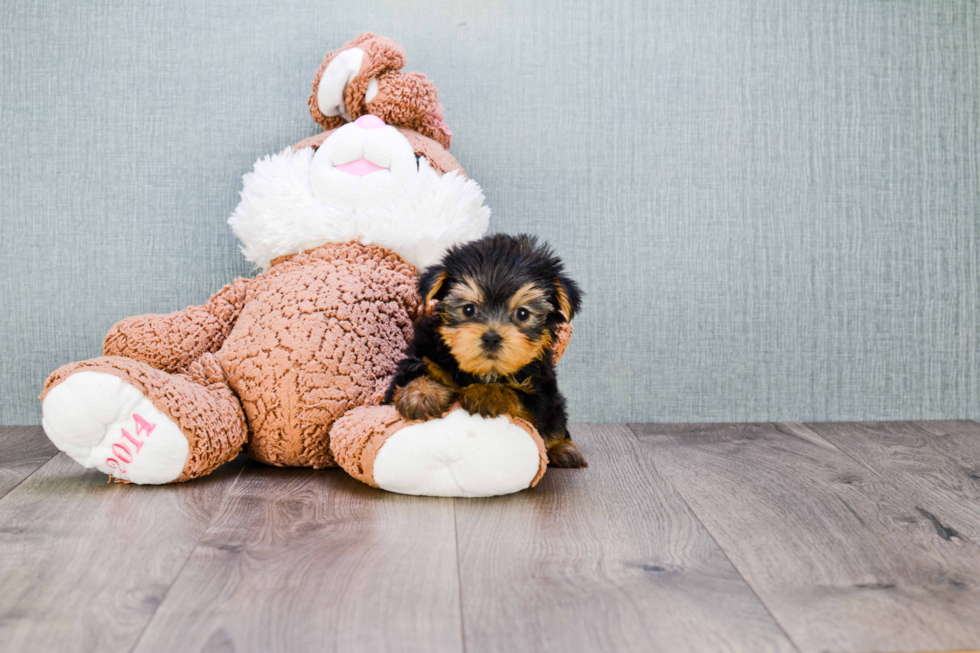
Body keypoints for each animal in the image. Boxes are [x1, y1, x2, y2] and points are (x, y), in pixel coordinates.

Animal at [382, 232, 584, 466]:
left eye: (523, 314)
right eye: (469, 309)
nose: (491, 337)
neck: (482, 371)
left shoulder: (540, 394)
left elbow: (519, 396)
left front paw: (487, 392)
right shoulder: (421, 354)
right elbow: (416, 372)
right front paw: (421, 394)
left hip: (554, 406)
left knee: (555, 425)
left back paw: (563, 449)